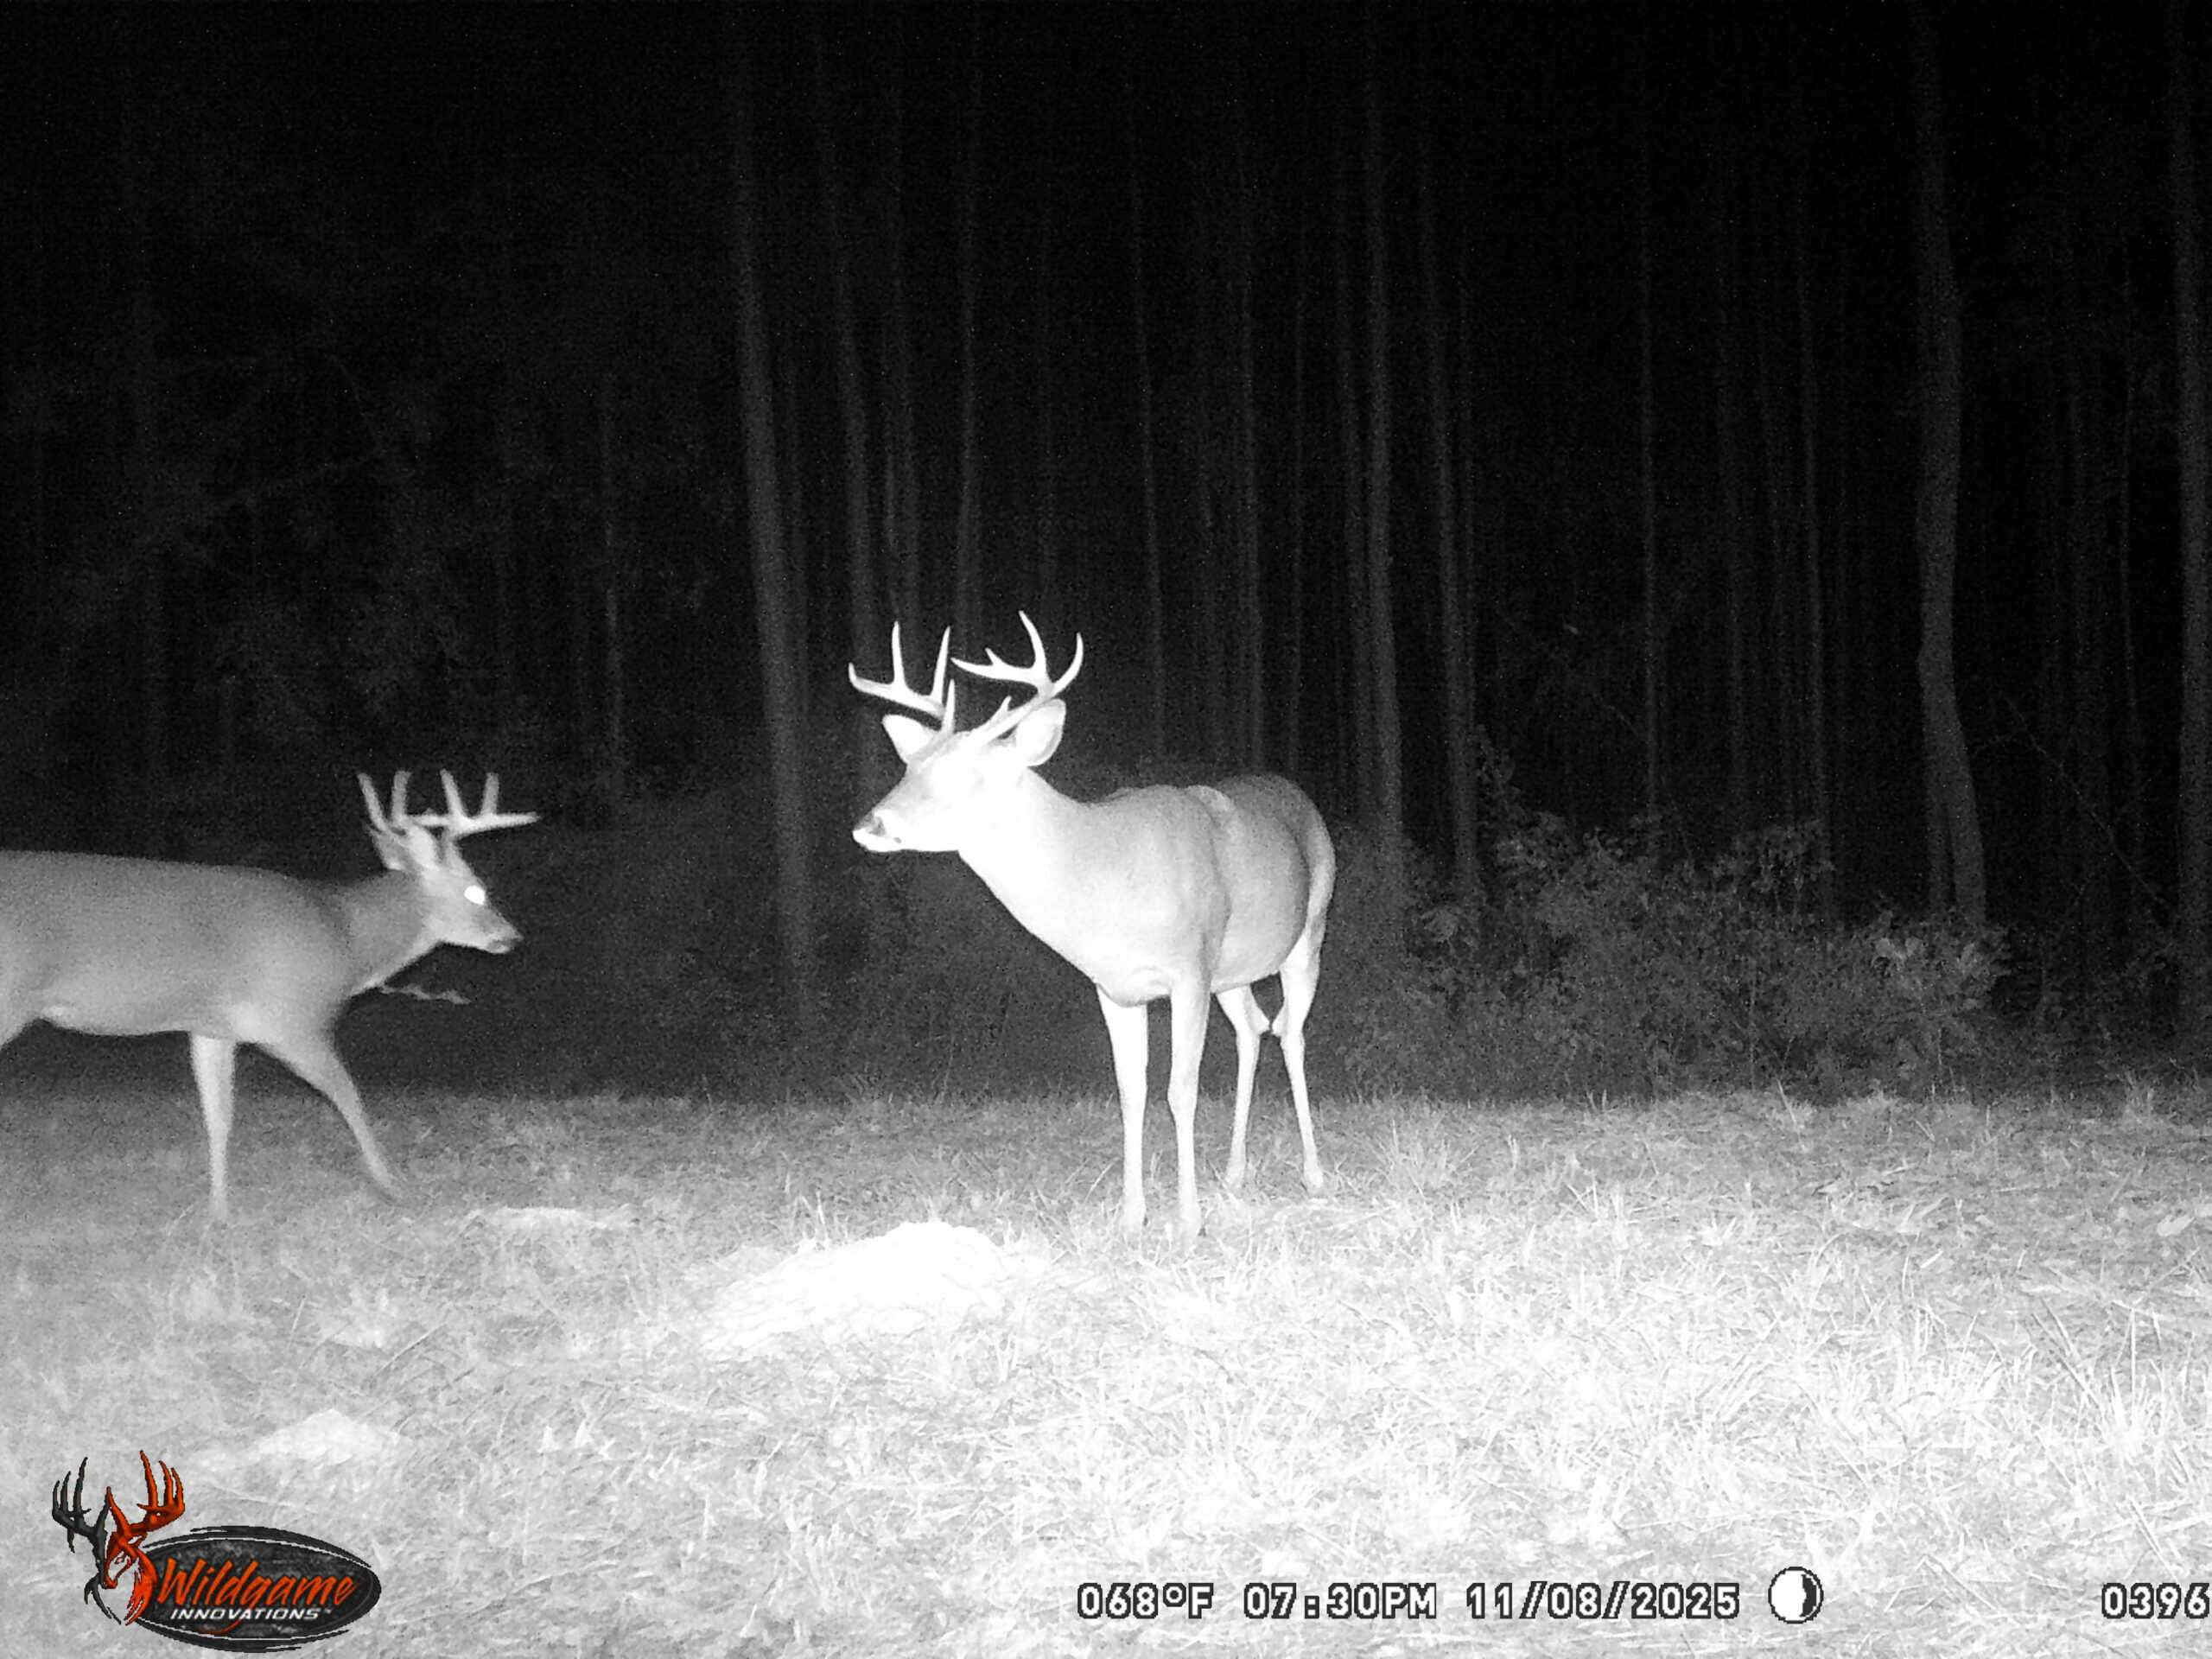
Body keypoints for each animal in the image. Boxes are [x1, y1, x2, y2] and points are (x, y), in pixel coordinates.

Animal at [0, 772, 537, 1221]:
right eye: (476, 890)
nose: (510, 937)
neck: (346, 939)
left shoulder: (212, 1029)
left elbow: (219, 1116)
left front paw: (218, 1213)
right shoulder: (293, 1019)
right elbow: (350, 1096)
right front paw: (393, 1185)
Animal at [849, 613, 1334, 1242]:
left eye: (967, 774)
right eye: (910, 765)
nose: (870, 824)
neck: (1104, 879)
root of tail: (1299, 797)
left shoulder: (1188, 970)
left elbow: (1180, 1090)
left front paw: (1189, 1221)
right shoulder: (1115, 987)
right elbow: (1131, 1090)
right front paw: (1132, 1217)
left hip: (1308, 932)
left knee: (1291, 1034)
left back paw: (1313, 1175)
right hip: (1234, 971)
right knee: (1254, 1029)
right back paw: (1233, 1173)